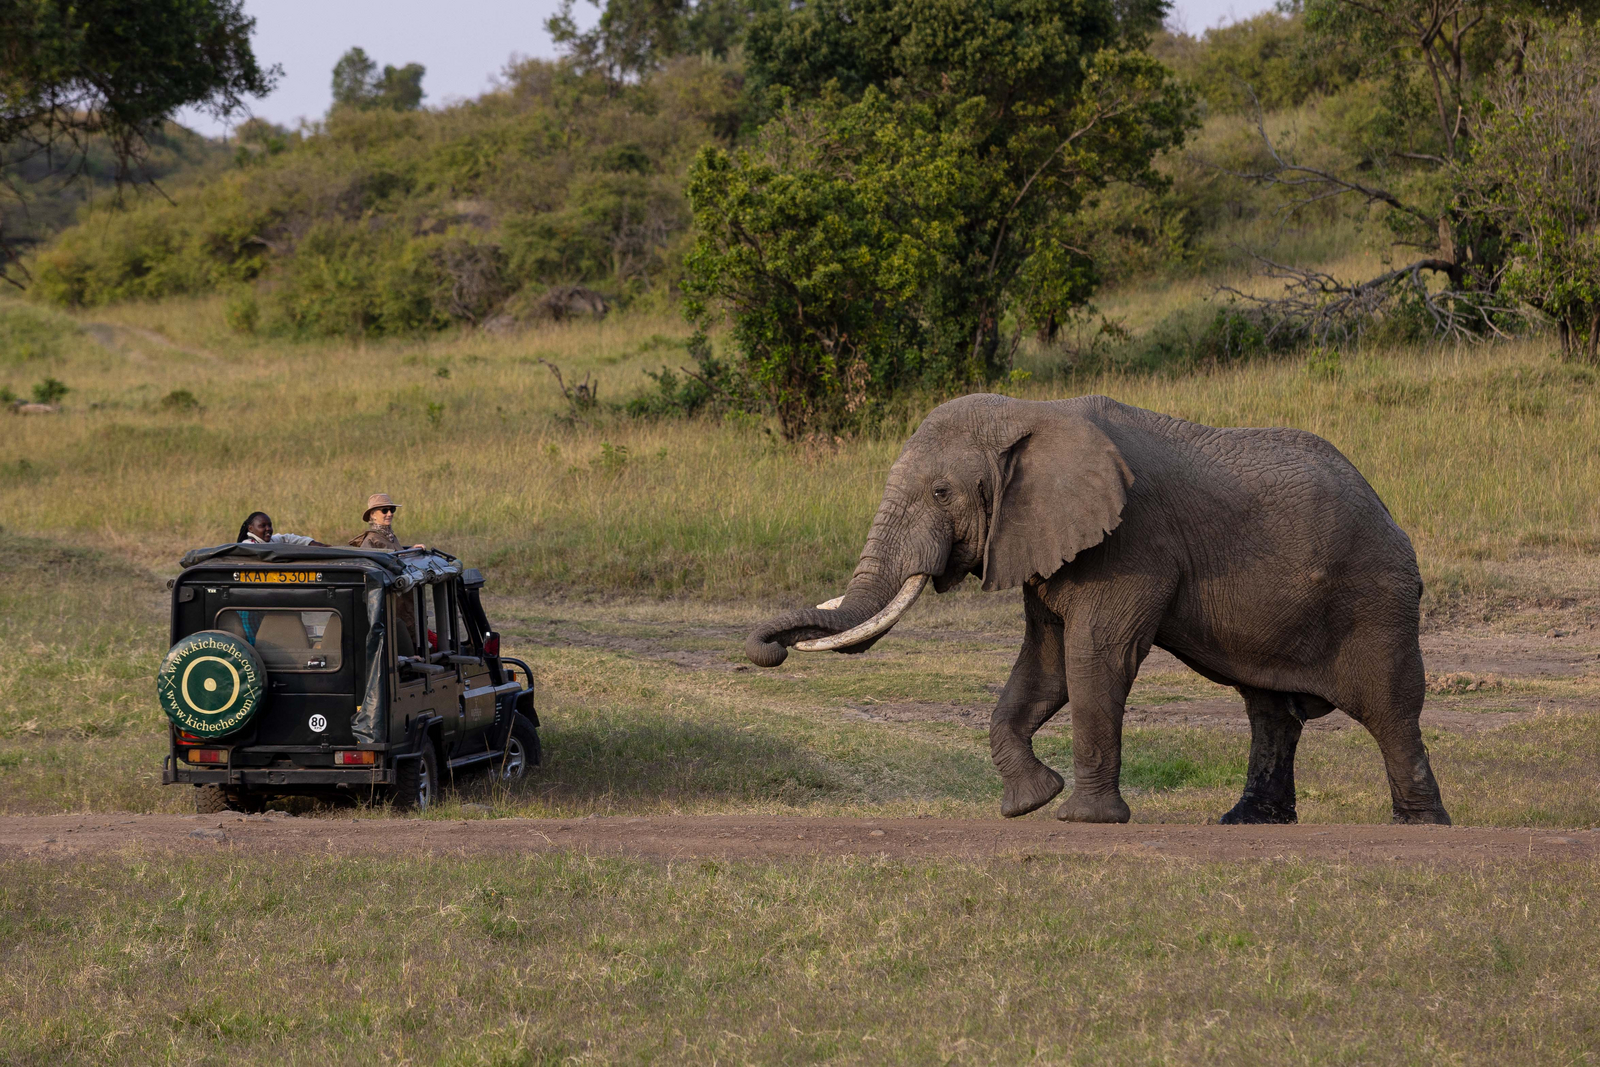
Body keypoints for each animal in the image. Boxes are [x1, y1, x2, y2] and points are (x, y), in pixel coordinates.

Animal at [745, 393, 1450, 826]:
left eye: (941, 492)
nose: (767, 649)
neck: (1034, 414)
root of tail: (1389, 512)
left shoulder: (1129, 542)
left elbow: (1095, 656)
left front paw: (1081, 818)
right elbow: (1046, 665)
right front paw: (1030, 803)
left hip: (1377, 597)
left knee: (1389, 708)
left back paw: (1420, 825)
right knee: (1270, 711)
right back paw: (1249, 821)